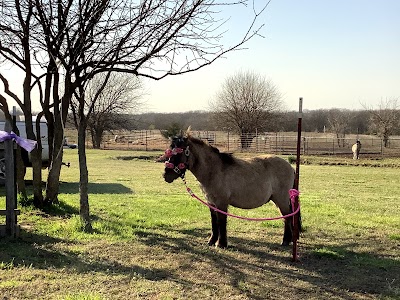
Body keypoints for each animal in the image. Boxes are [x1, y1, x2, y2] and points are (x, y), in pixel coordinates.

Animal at [162, 131, 300, 248]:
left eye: (178, 153)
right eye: (169, 151)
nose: (165, 175)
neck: (214, 171)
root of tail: (290, 167)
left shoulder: (222, 203)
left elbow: (221, 222)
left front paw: (221, 244)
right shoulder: (211, 203)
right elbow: (214, 222)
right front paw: (211, 241)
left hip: (281, 200)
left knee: (287, 217)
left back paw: (285, 241)